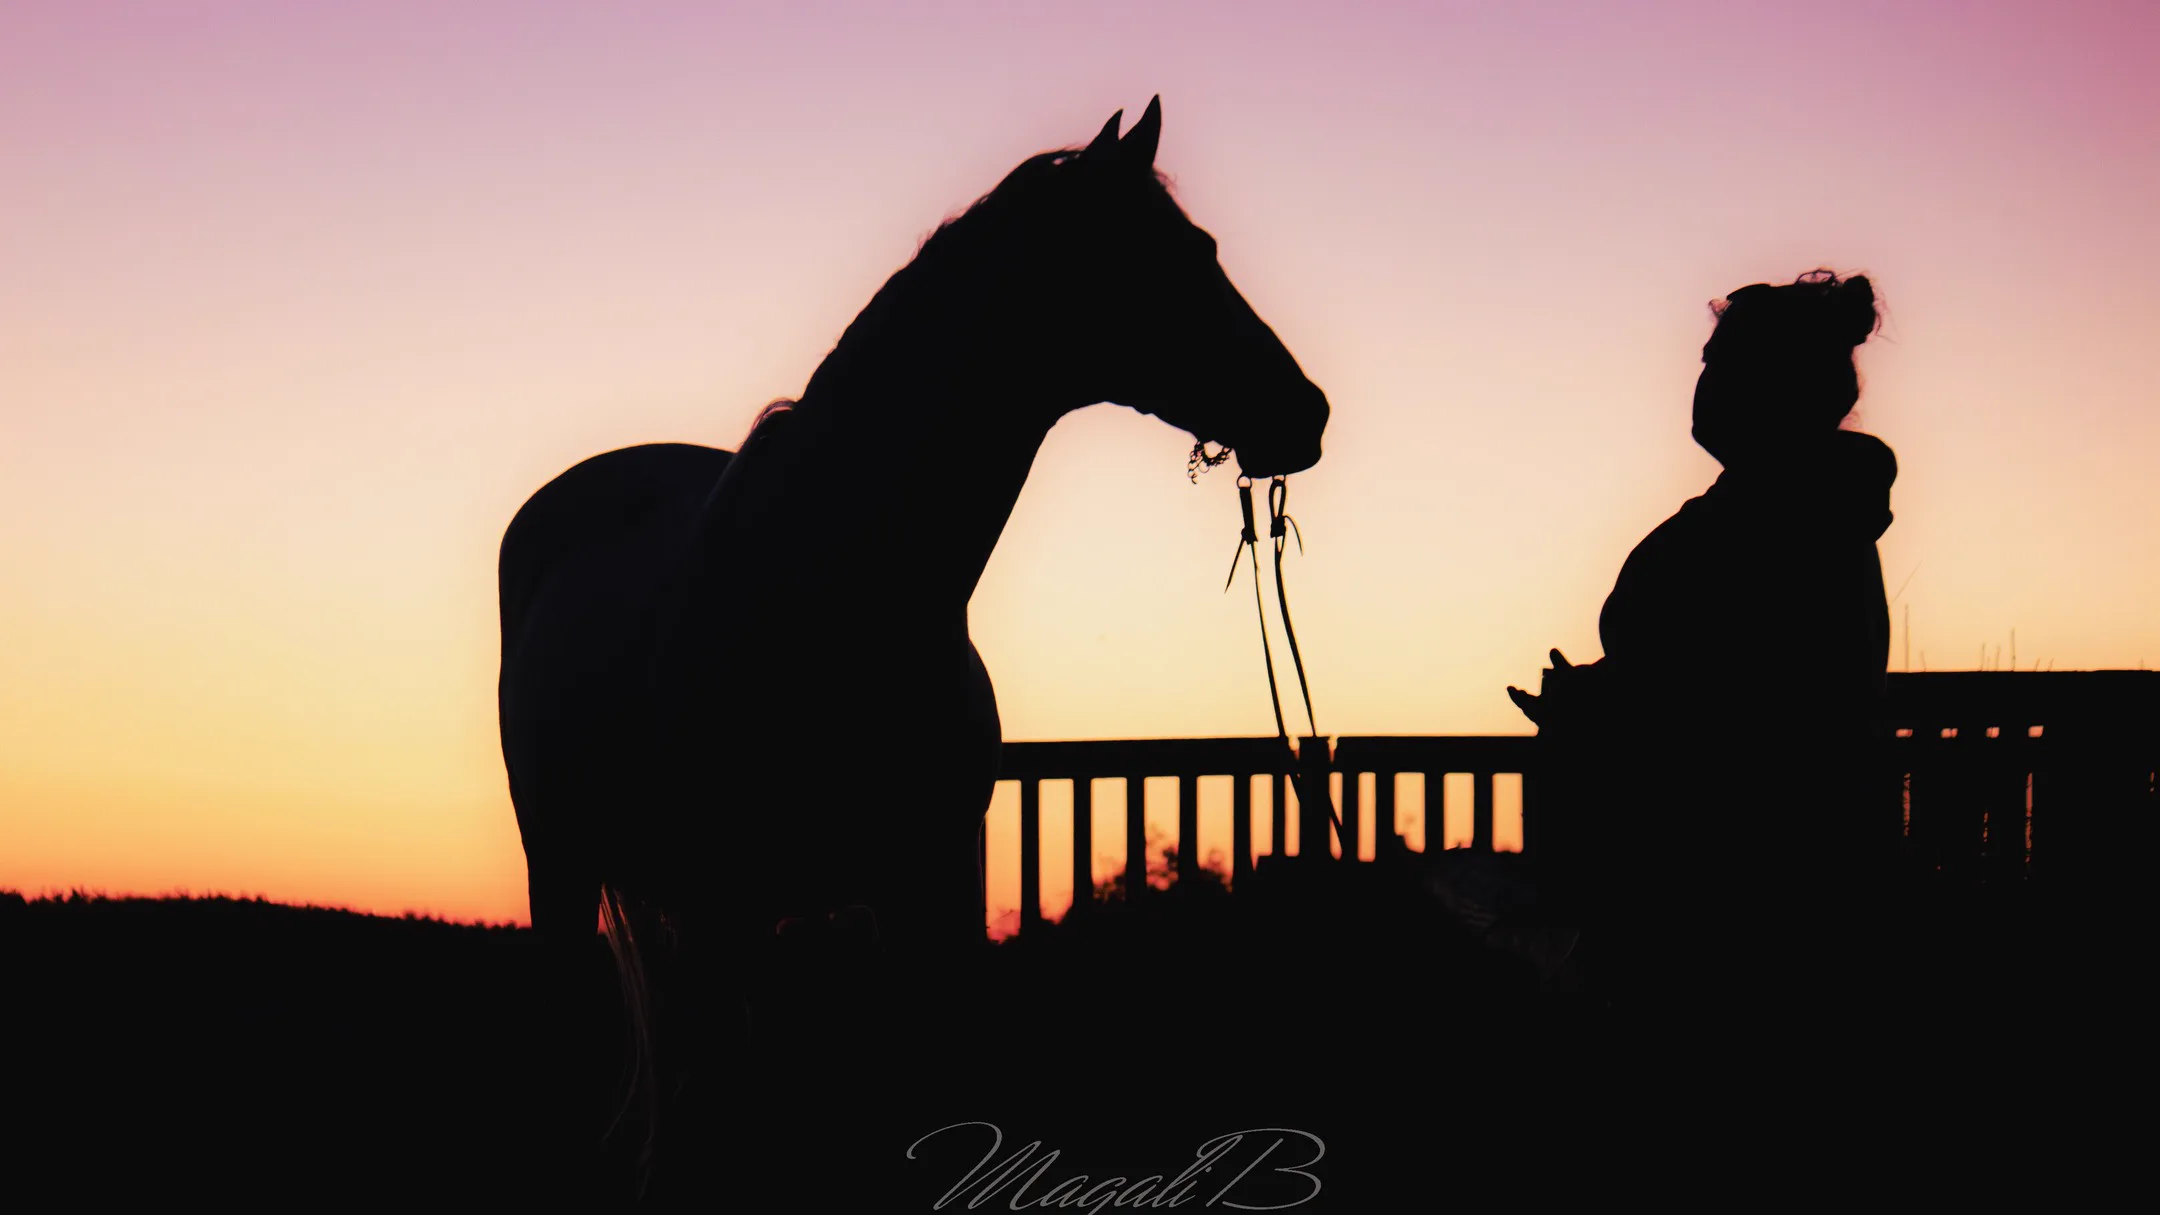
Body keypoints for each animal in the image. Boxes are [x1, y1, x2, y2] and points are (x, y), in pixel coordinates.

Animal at [494, 97, 1329, 1197]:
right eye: (1171, 259)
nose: (1307, 411)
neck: (838, 588)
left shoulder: (924, 892)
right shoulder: (725, 902)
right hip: (572, 869)